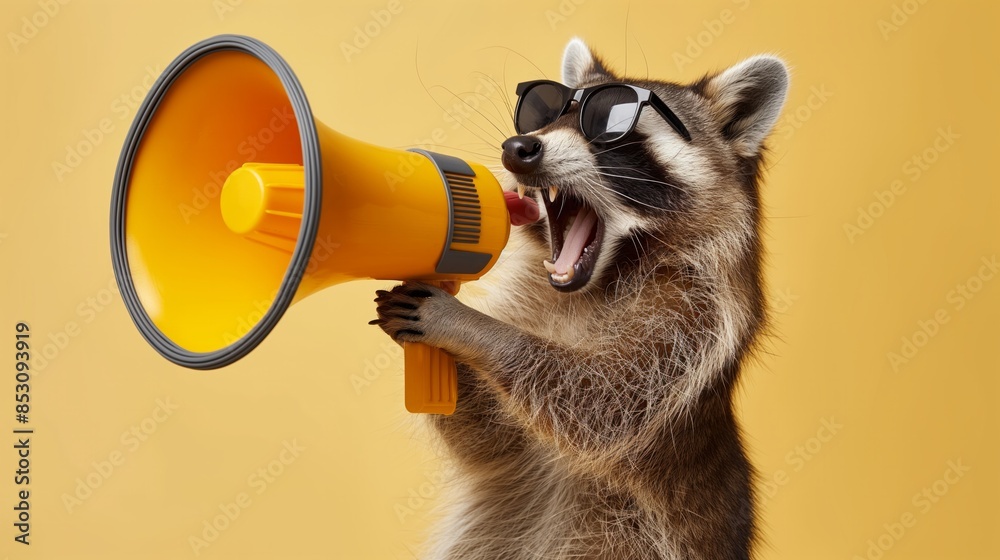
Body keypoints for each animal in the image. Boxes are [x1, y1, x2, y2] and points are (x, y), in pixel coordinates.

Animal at [373, 38, 789, 560]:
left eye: (612, 128)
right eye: (542, 115)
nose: (518, 148)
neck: (593, 287)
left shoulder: (695, 318)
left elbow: (599, 401)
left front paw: (469, 328)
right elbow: (493, 440)